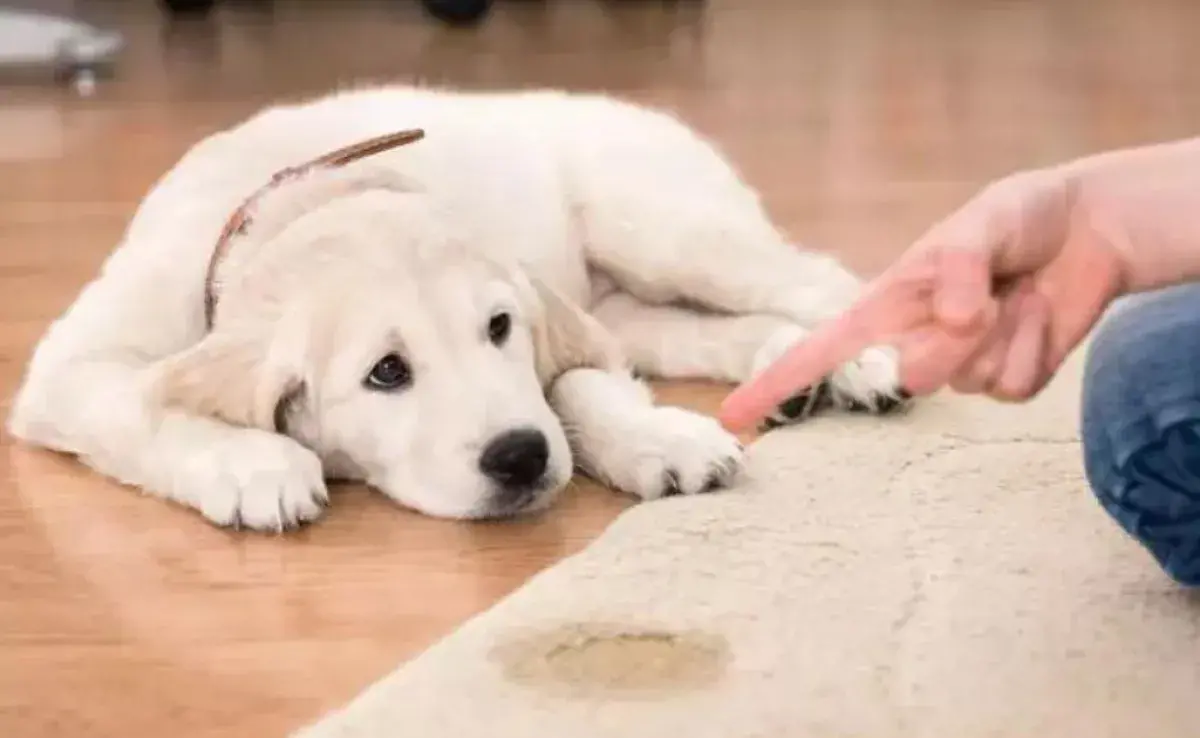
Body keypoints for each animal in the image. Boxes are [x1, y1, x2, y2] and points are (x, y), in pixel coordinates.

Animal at [4, 85, 902, 530]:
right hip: (632, 301)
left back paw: (860, 359)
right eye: (386, 373)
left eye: (498, 328)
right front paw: (255, 464)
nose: (521, 459)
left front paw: (656, 439)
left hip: (663, 227)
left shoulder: (558, 328)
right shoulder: (70, 369)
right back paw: (790, 371)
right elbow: (142, 405)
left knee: (817, 279)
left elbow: (576, 388)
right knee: (711, 328)